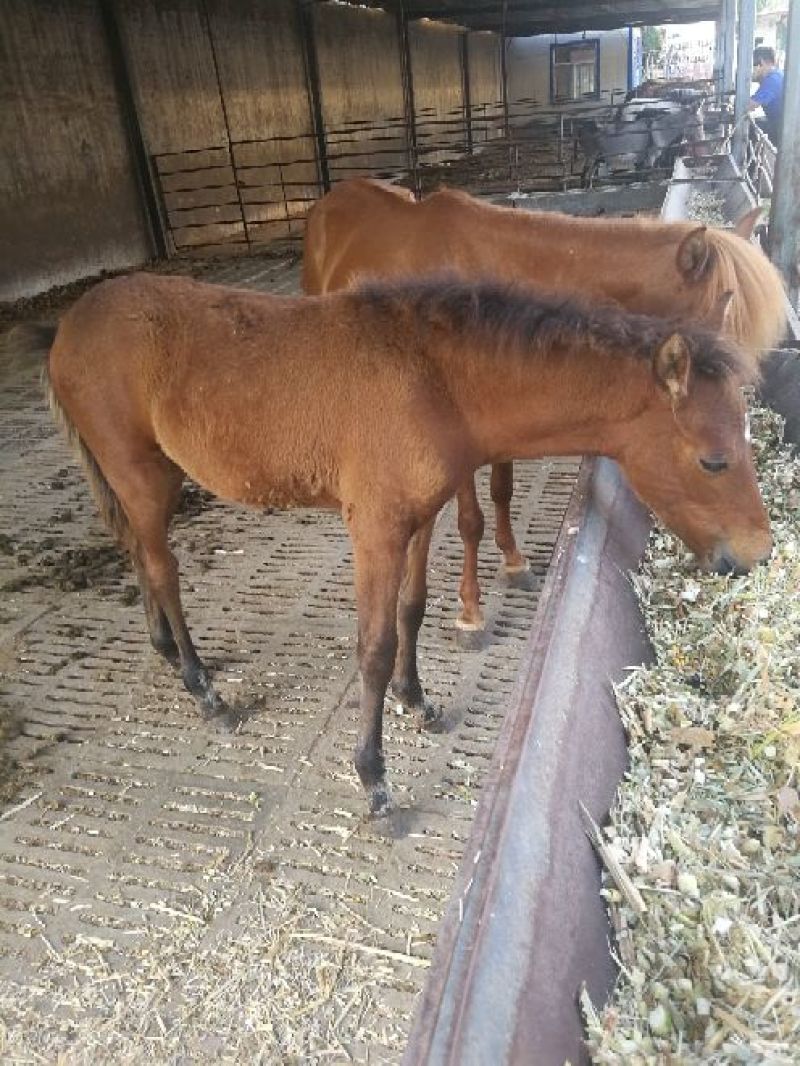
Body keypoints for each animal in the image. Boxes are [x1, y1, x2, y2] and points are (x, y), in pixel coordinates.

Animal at [36, 272, 769, 816]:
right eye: (713, 460)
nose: (755, 555)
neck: (434, 376)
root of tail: (71, 325)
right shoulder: (376, 529)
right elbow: (374, 646)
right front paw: (374, 776)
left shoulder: (421, 518)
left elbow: (412, 611)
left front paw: (417, 700)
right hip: (143, 475)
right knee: (160, 567)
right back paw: (202, 688)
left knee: (138, 553)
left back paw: (166, 651)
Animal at [303, 178, 786, 629]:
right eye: (712, 462)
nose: (755, 556)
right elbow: (470, 519)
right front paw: (471, 610)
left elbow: (502, 490)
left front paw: (513, 561)